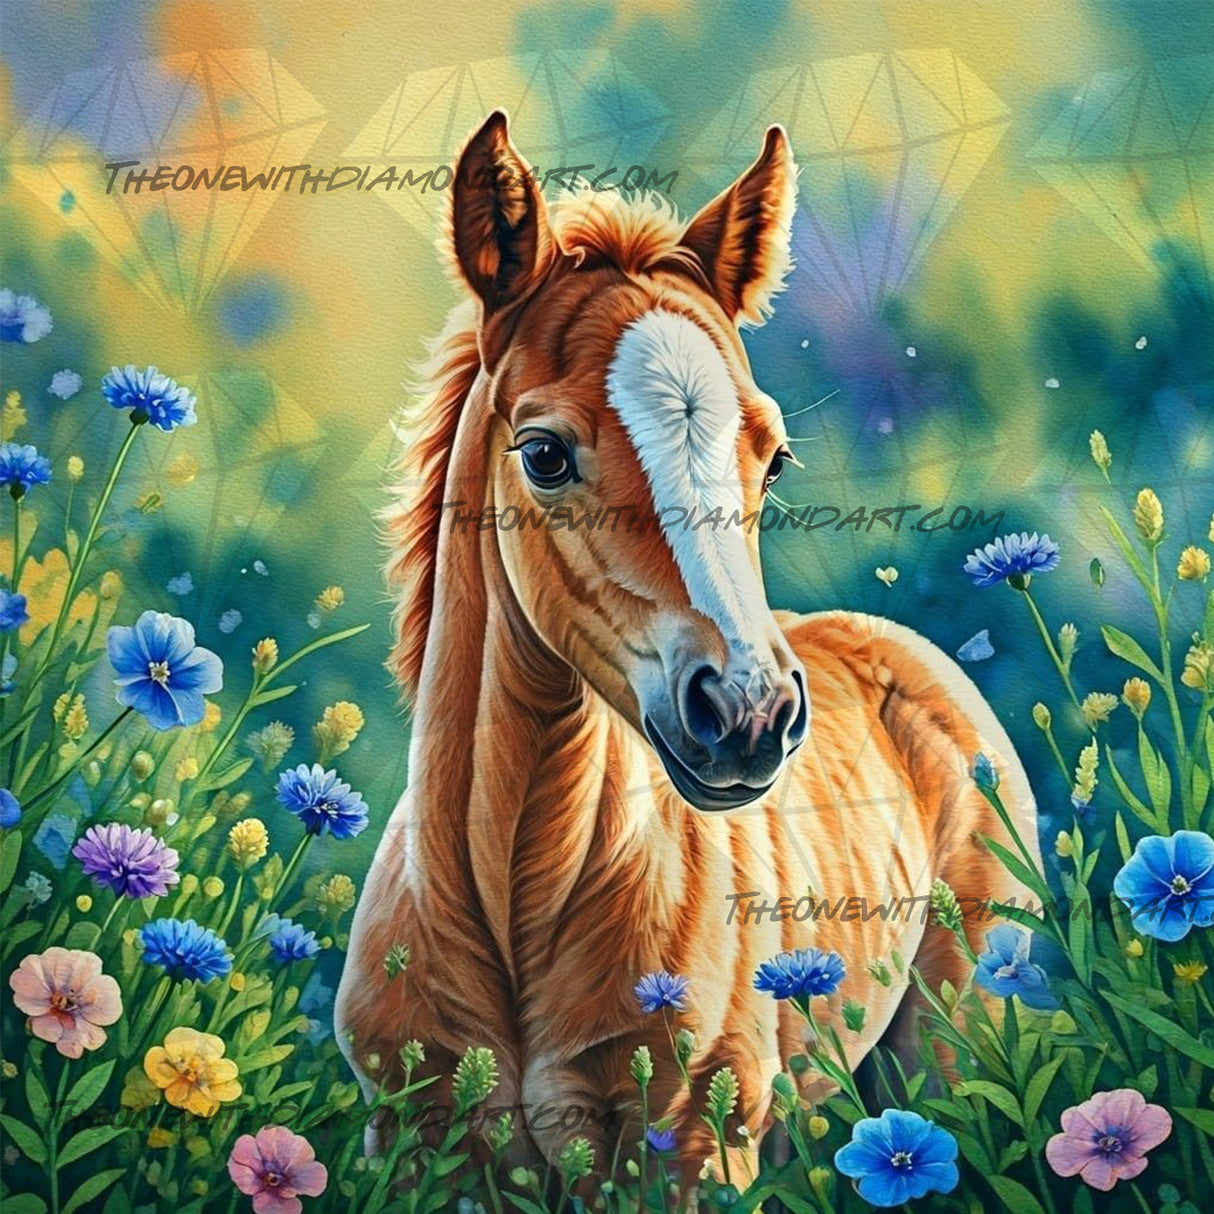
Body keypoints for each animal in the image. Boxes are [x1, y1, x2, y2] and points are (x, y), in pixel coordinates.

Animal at [336, 110, 1039, 1180]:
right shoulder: (417, 1144)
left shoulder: (695, 1146)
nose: (750, 712)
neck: (514, 898)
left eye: (773, 456)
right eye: (543, 454)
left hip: (957, 1052)